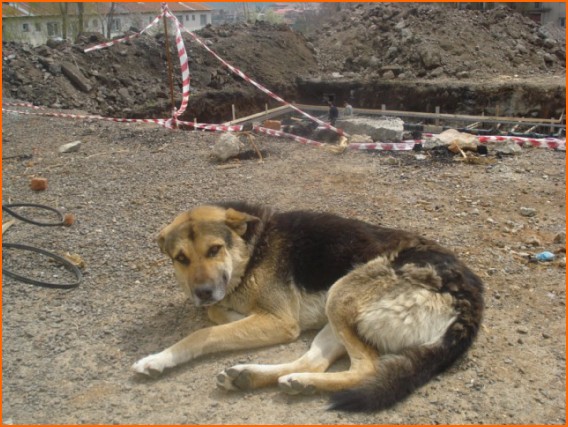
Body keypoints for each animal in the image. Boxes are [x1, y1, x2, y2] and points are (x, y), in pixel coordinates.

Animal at [133, 202, 484, 412]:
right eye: (181, 259)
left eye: (214, 250)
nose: (203, 292)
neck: (253, 246)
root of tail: (470, 297)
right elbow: (217, 313)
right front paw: (227, 311)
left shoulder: (280, 322)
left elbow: (203, 335)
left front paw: (157, 359)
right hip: (335, 313)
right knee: (315, 362)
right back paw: (263, 378)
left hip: (341, 293)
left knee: (365, 369)